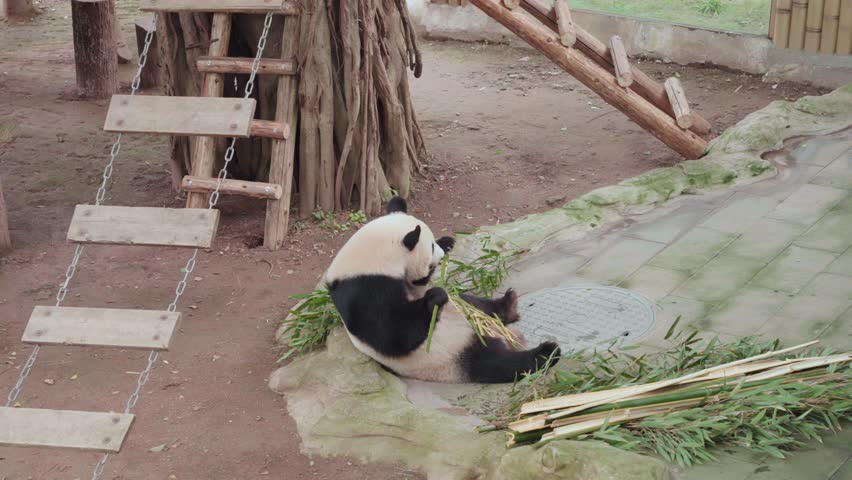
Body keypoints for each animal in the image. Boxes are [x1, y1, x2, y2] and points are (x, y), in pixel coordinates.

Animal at [325, 197, 560, 384]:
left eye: (433, 244)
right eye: (429, 249)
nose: (438, 257)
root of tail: (502, 338)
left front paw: (447, 242)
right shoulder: (365, 290)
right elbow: (394, 333)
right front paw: (434, 297)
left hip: (465, 315)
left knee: (474, 303)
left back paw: (508, 305)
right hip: (452, 357)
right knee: (498, 364)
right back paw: (546, 353)